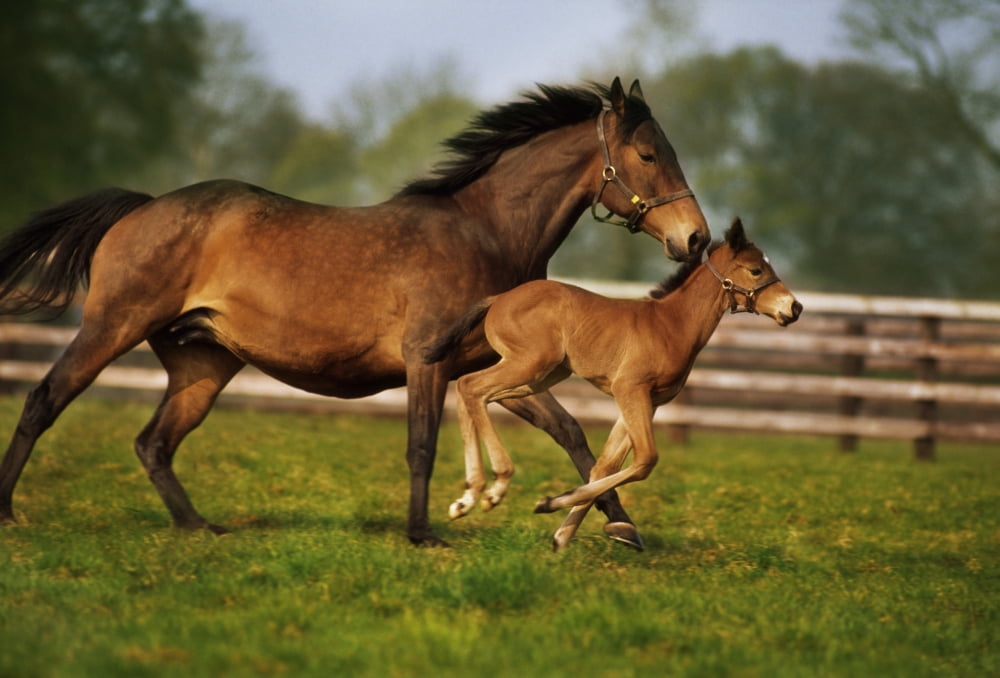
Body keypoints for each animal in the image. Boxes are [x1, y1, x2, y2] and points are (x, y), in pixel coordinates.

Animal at [0, 77, 709, 547]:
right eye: (649, 154)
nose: (696, 239)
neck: (485, 233)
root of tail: (142, 206)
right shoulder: (430, 360)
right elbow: (421, 445)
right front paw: (426, 533)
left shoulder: (500, 368)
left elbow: (573, 435)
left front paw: (621, 527)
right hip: (112, 326)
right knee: (44, 401)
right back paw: (9, 512)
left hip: (201, 364)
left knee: (154, 442)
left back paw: (200, 527)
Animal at [425, 218, 801, 550]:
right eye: (756, 270)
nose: (794, 307)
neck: (671, 325)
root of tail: (498, 300)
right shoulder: (629, 389)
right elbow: (645, 459)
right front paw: (551, 504)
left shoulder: (648, 401)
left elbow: (605, 465)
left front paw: (562, 534)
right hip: (528, 364)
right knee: (472, 385)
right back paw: (494, 488)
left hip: (540, 376)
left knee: (472, 391)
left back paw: (468, 496)